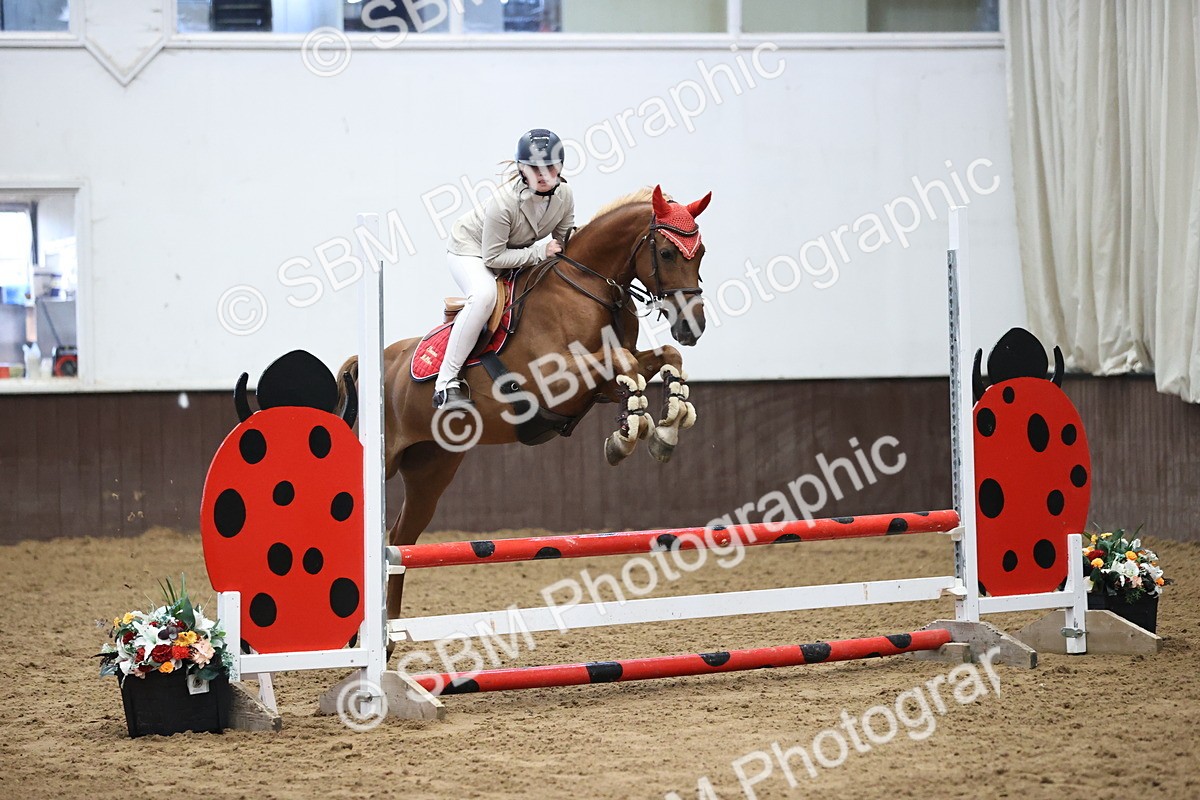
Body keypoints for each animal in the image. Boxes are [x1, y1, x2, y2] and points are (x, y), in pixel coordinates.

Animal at [339, 185, 712, 619]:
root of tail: (370, 363)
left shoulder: (599, 386)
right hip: (383, 462)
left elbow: (662, 358)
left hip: (431, 468)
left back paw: (394, 626)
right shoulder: (552, 377)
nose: (693, 326)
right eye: (667, 253)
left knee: (401, 539)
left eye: (701, 253)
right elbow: (623, 362)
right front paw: (631, 431)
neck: (588, 286)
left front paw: (663, 427)